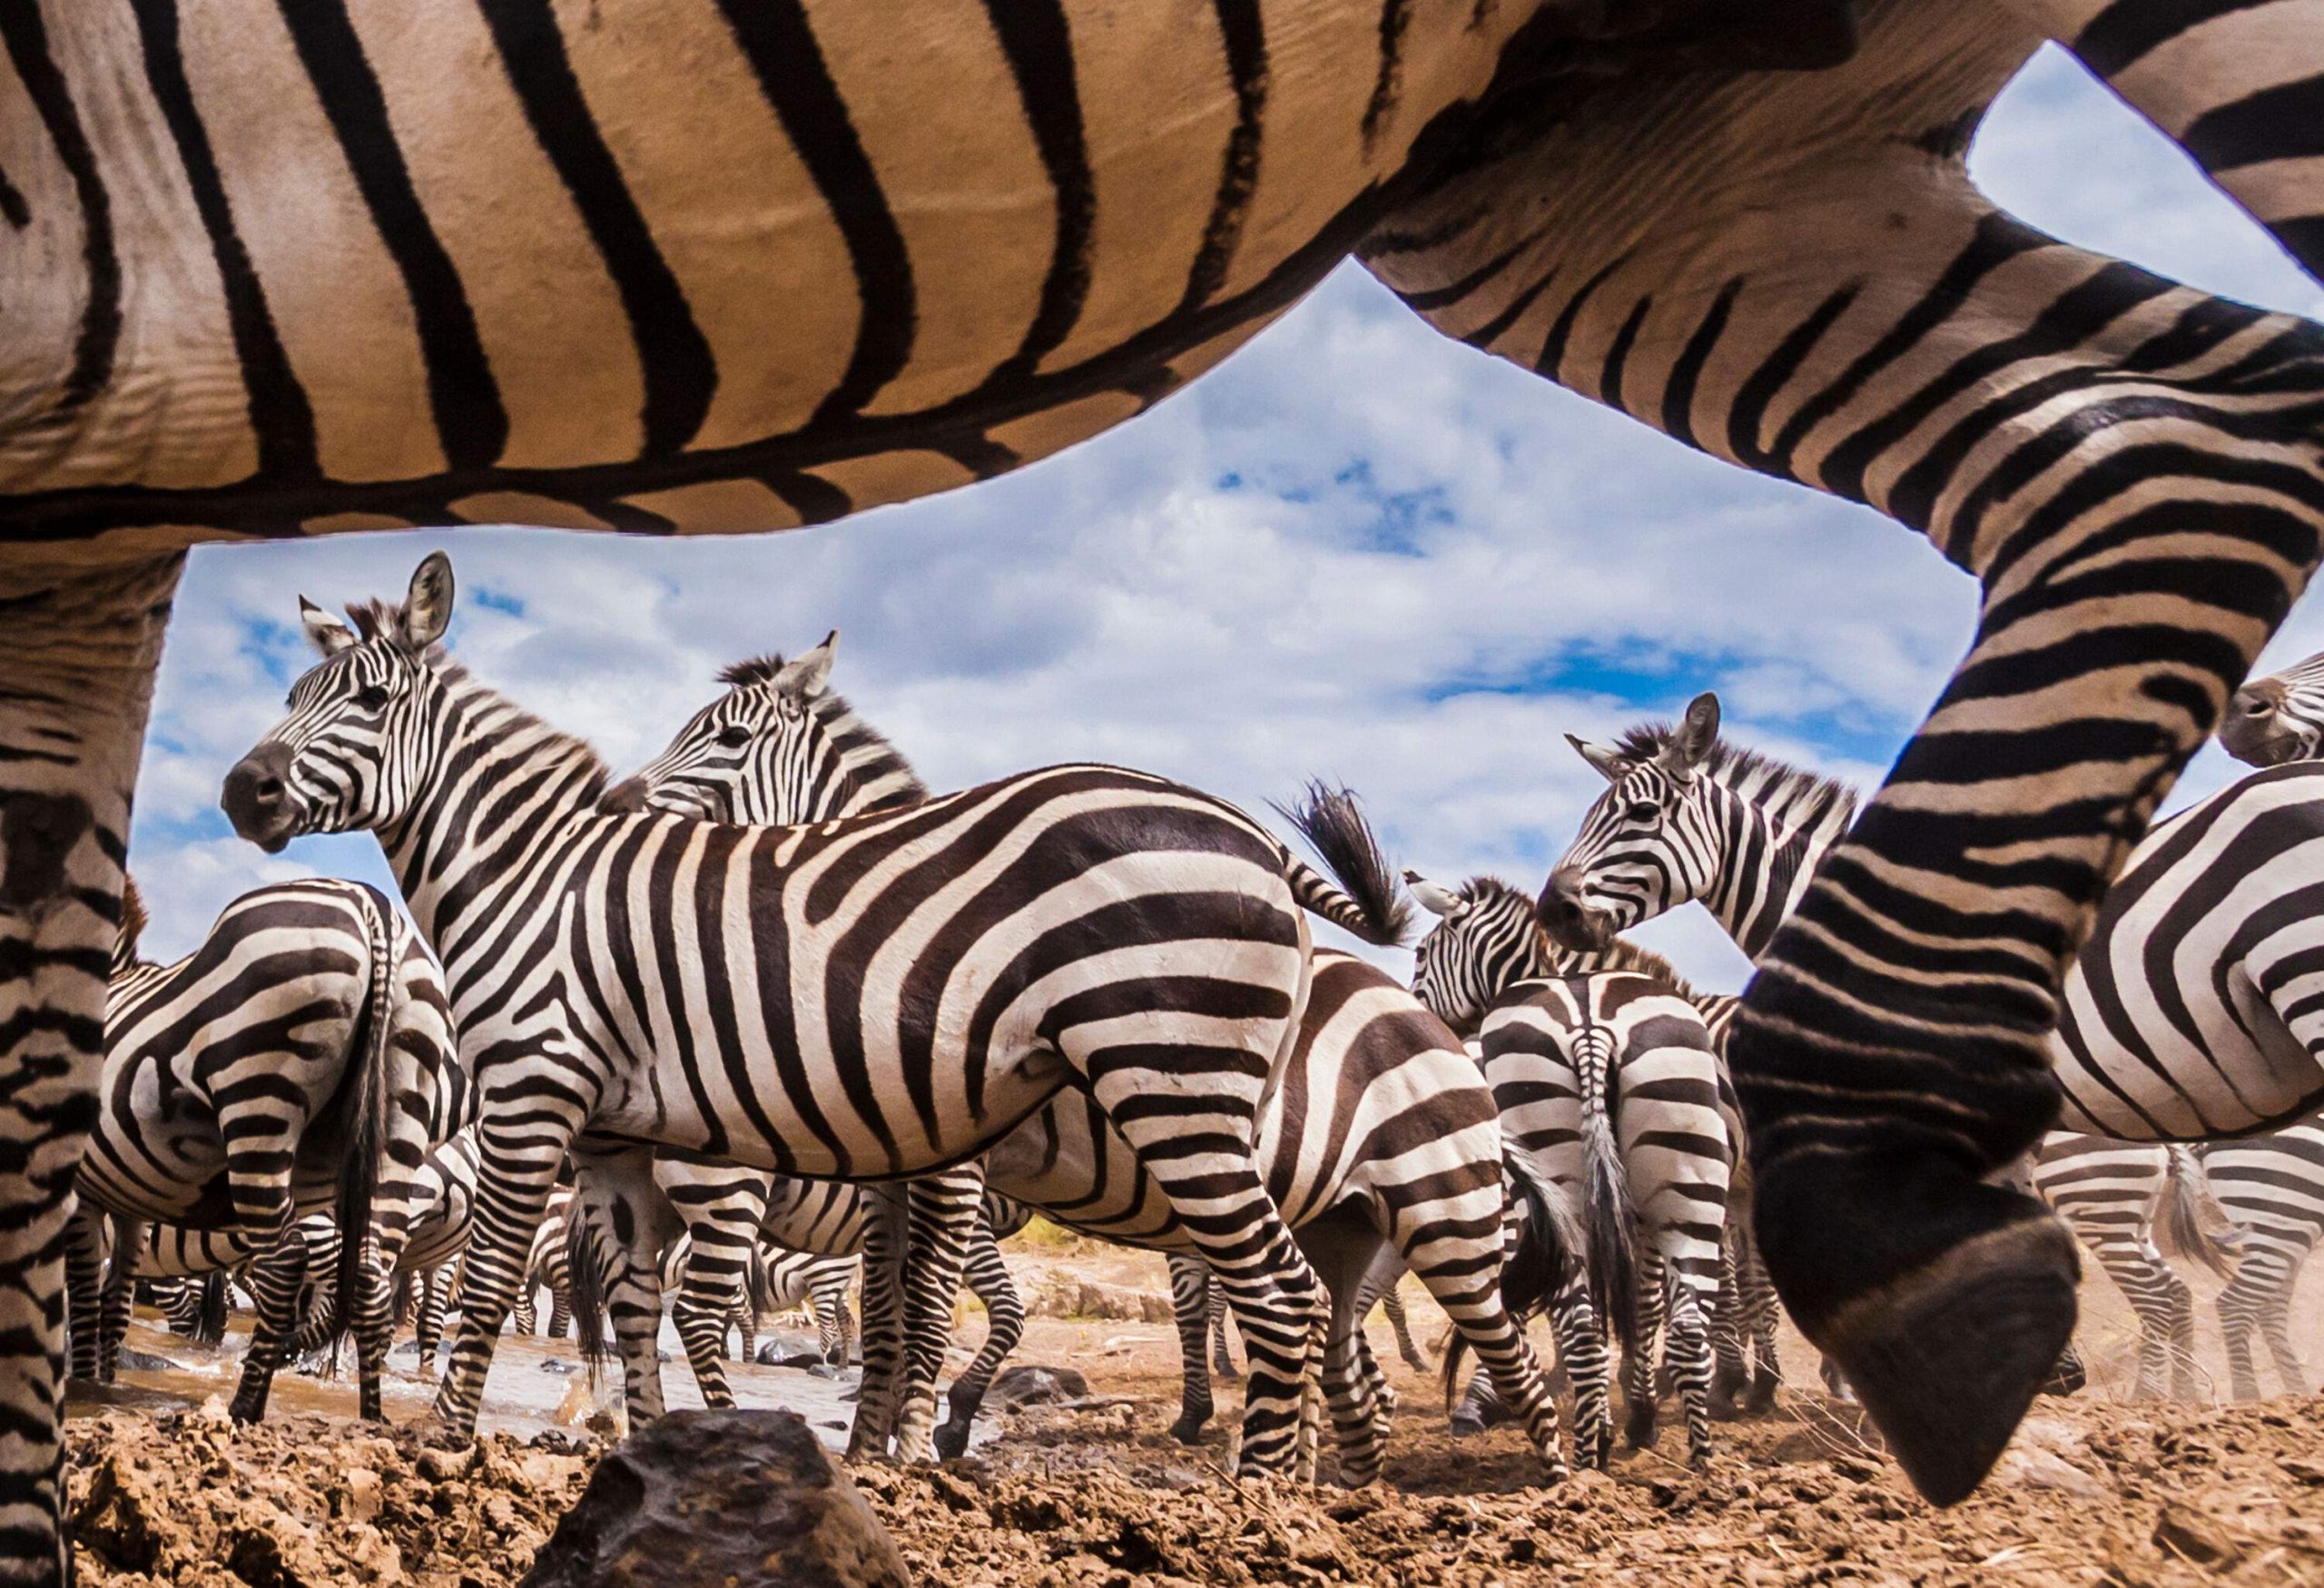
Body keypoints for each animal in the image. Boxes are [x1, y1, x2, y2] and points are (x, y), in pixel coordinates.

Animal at [67, 883, 462, 1432]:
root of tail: (375, 910)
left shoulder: (84, 1192)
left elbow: (86, 1301)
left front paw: (83, 1385)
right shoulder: (128, 1202)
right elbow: (114, 1305)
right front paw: (103, 1386)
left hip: (258, 1095)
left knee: (284, 1263)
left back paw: (244, 1407)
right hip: (402, 1114)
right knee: (369, 1280)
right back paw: (370, 1417)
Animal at [599, 641, 1580, 1487]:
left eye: (727, 739)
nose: (619, 803)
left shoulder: (956, 1166)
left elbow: (924, 1306)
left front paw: (912, 1445)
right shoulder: (890, 1170)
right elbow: (881, 1309)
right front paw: (868, 1449)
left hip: (1440, 1217)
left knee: (1508, 1350)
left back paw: (1552, 1487)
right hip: (1346, 1222)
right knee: (1353, 1369)